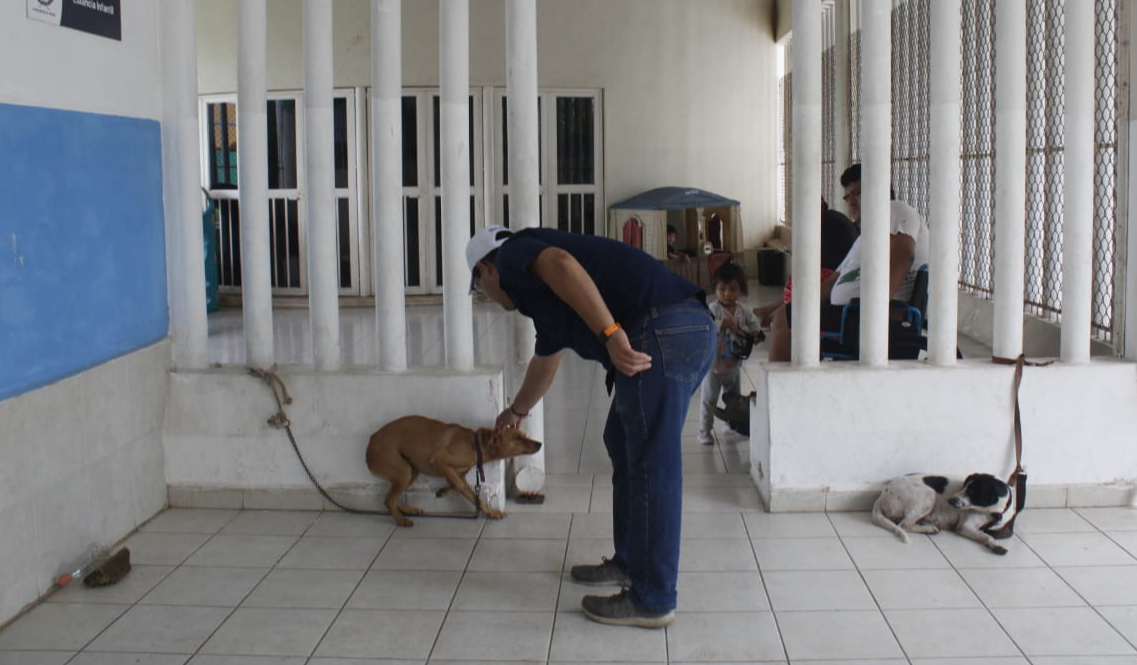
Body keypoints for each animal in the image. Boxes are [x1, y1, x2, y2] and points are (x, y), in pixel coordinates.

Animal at [363, 411, 541, 527]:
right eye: (517, 438)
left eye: (524, 435)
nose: (539, 444)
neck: (476, 445)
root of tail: (371, 441)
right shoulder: (439, 461)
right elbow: (459, 485)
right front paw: (443, 491)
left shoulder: (457, 473)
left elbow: (474, 497)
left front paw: (491, 512)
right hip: (404, 471)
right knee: (388, 500)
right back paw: (401, 520)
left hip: (411, 471)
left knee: (393, 498)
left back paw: (408, 510)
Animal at [868, 472, 1014, 554]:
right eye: (965, 487)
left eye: (972, 491)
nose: (950, 500)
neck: (993, 512)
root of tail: (882, 495)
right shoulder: (965, 526)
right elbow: (986, 536)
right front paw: (995, 544)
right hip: (929, 494)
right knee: (904, 524)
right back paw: (928, 528)